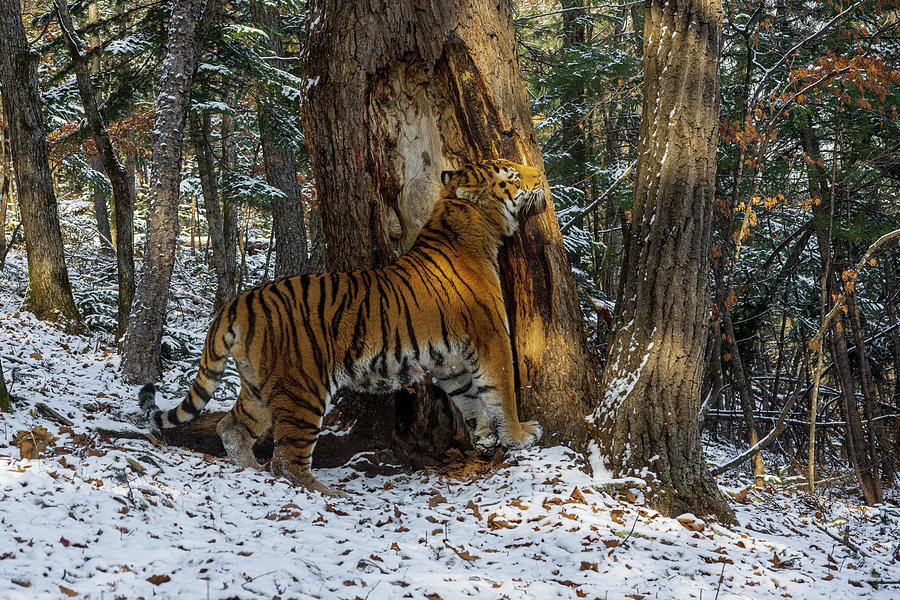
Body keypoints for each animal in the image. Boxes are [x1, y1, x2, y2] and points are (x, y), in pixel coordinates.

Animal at [140, 157, 544, 494]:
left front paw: (486, 436)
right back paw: (328, 493)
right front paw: (521, 434)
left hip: (258, 386)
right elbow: (502, 389)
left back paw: (250, 470)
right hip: (302, 388)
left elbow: (470, 396)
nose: (540, 174)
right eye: (511, 175)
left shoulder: (449, 359)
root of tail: (239, 301)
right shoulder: (491, 336)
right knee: (286, 460)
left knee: (232, 428)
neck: (462, 222)